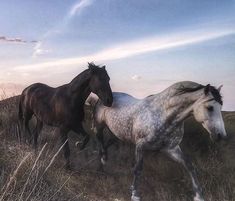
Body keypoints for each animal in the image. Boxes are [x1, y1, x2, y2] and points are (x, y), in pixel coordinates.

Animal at [87, 81, 227, 201]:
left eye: (221, 107)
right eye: (210, 107)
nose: (221, 136)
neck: (164, 114)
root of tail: (104, 98)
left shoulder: (171, 149)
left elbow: (189, 165)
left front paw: (198, 195)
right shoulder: (140, 146)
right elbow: (138, 168)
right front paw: (135, 194)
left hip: (116, 134)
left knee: (106, 146)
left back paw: (102, 166)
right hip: (99, 128)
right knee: (100, 145)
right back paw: (101, 165)